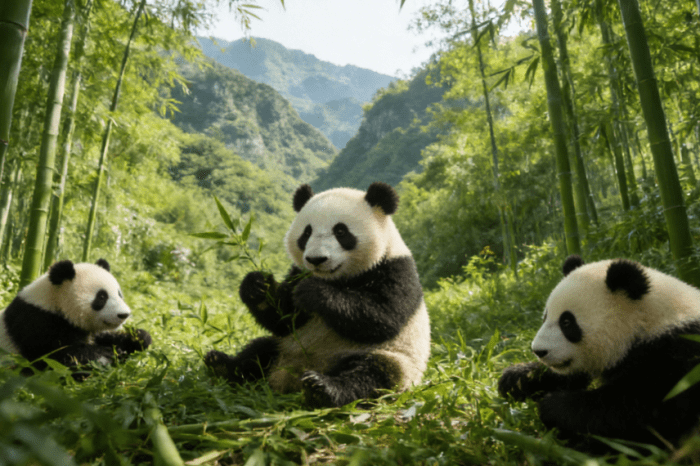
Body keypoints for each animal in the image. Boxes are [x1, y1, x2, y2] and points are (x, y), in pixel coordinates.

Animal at [0, 259, 151, 369]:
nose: (124, 314)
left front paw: (138, 337)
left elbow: (107, 338)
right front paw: (103, 354)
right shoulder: (35, 322)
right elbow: (52, 357)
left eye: (119, 294)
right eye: (101, 297)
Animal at [205, 182, 431, 408]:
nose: (316, 259)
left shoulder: (396, 269)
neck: (336, 279)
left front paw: (315, 293)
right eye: (306, 233)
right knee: (259, 351)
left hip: (389, 359)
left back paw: (322, 388)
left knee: (373, 374)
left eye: (341, 231)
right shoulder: (297, 273)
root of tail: (291, 377)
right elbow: (283, 319)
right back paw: (221, 365)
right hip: (285, 347)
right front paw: (257, 285)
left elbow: (382, 317)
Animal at [498, 255, 700, 450]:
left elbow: (642, 412)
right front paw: (516, 379)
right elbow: (570, 377)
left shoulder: (675, 356)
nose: (539, 351)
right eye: (545, 317)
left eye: (567, 322)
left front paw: (553, 407)